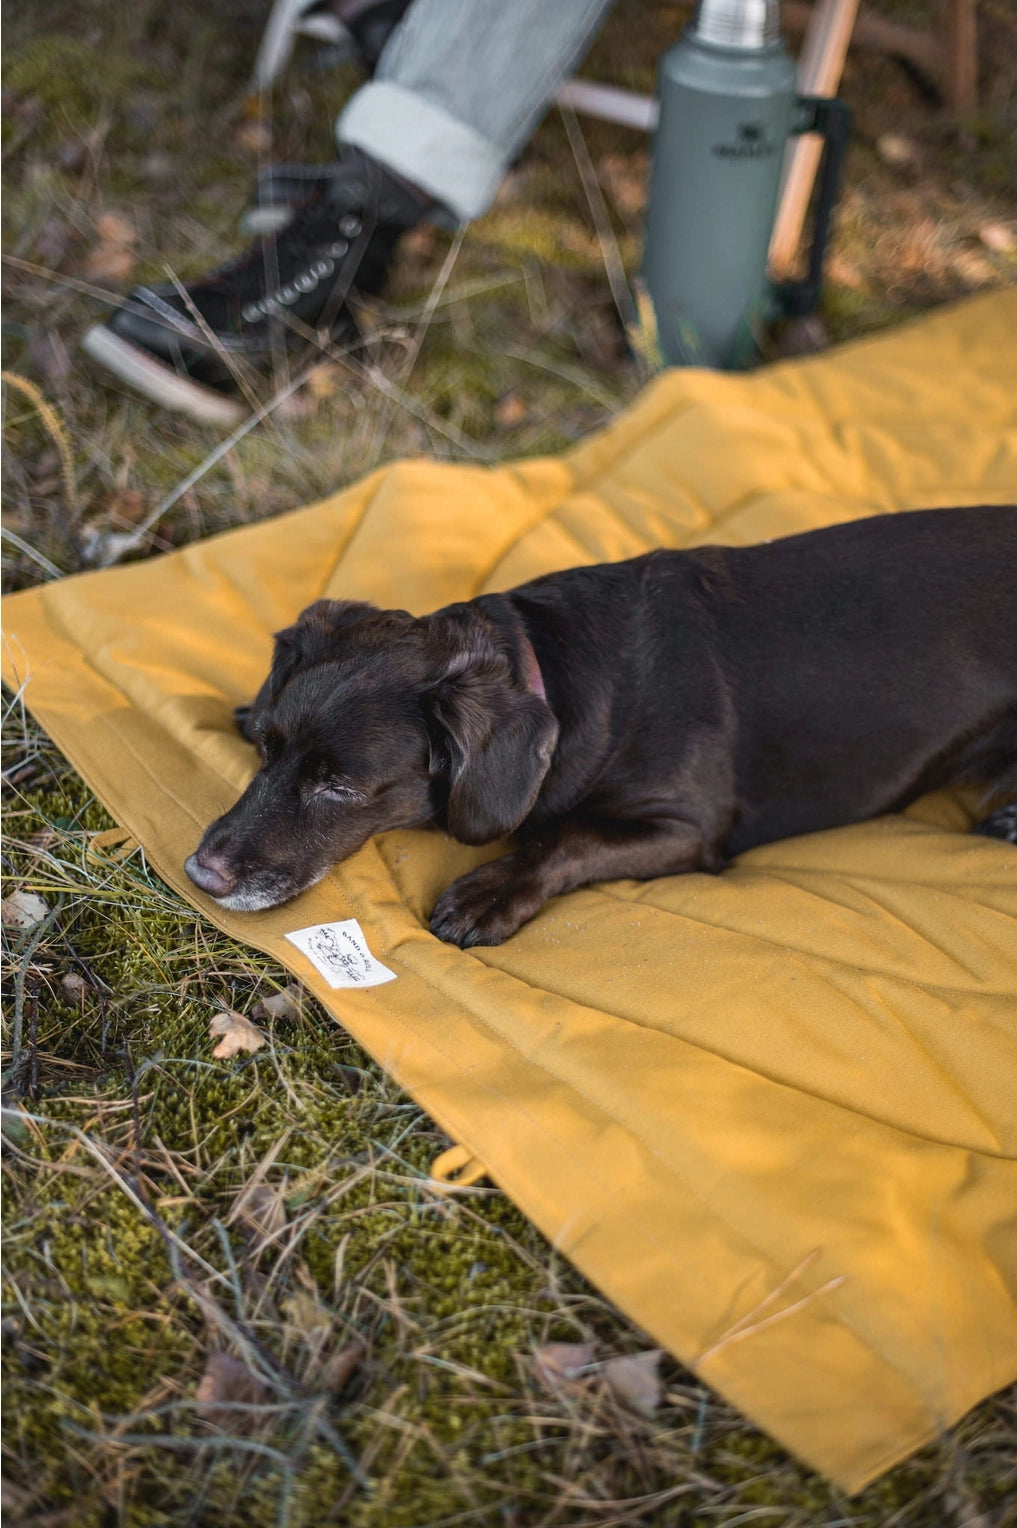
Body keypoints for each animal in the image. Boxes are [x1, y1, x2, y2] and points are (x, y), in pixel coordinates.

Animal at [184, 510, 1013, 941]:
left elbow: (566, 837)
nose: (200, 874)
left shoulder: (687, 827)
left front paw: (487, 894)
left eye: (341, 787)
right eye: (266, 751)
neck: (543, 664)